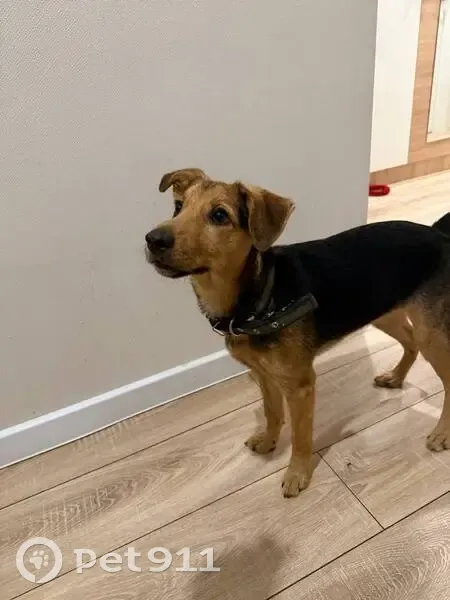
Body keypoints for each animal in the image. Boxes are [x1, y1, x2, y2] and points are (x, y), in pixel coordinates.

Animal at [145, 168, 450, 498]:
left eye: (219, 215)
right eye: (178, 207)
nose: (153, 239)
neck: (260, 295)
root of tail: (437, 233)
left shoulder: (300, 385)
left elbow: (301, 437)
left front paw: (297, 474)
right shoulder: (264, 375)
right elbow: (272, 412)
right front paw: (268, 441)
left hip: (430, 332)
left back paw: (441, 433)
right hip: (385, 312)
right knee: (410, 342)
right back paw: (395, 377)